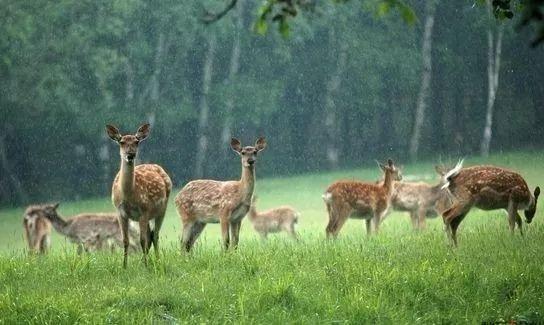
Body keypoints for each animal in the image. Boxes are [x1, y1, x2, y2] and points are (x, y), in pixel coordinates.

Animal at [107, 123, 172, 268]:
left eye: (136, 142)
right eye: (121, 142)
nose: (131, 154)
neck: (128, 195)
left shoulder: (144, 210)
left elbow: (142, 240)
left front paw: (146, 267)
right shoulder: (120, 212)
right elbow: (125, 240)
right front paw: (124, 266)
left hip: (161, 209)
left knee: (154, 236)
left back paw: (157, 261)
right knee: (150, 236)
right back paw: (143, 261)